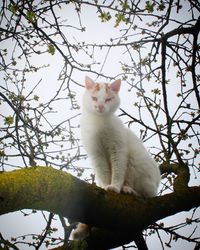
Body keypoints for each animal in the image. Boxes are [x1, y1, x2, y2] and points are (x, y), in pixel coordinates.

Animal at [71, 76, 160, 240]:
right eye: (94, 98)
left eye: (108, 99)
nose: (100, 106)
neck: (98, 124)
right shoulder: (97, 155)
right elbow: (104, 173)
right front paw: (106, 187)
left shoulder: (118, 150)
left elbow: (118, 171)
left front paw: (115, 187)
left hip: (137, 165)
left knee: (148, 195)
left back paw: (129, 190)